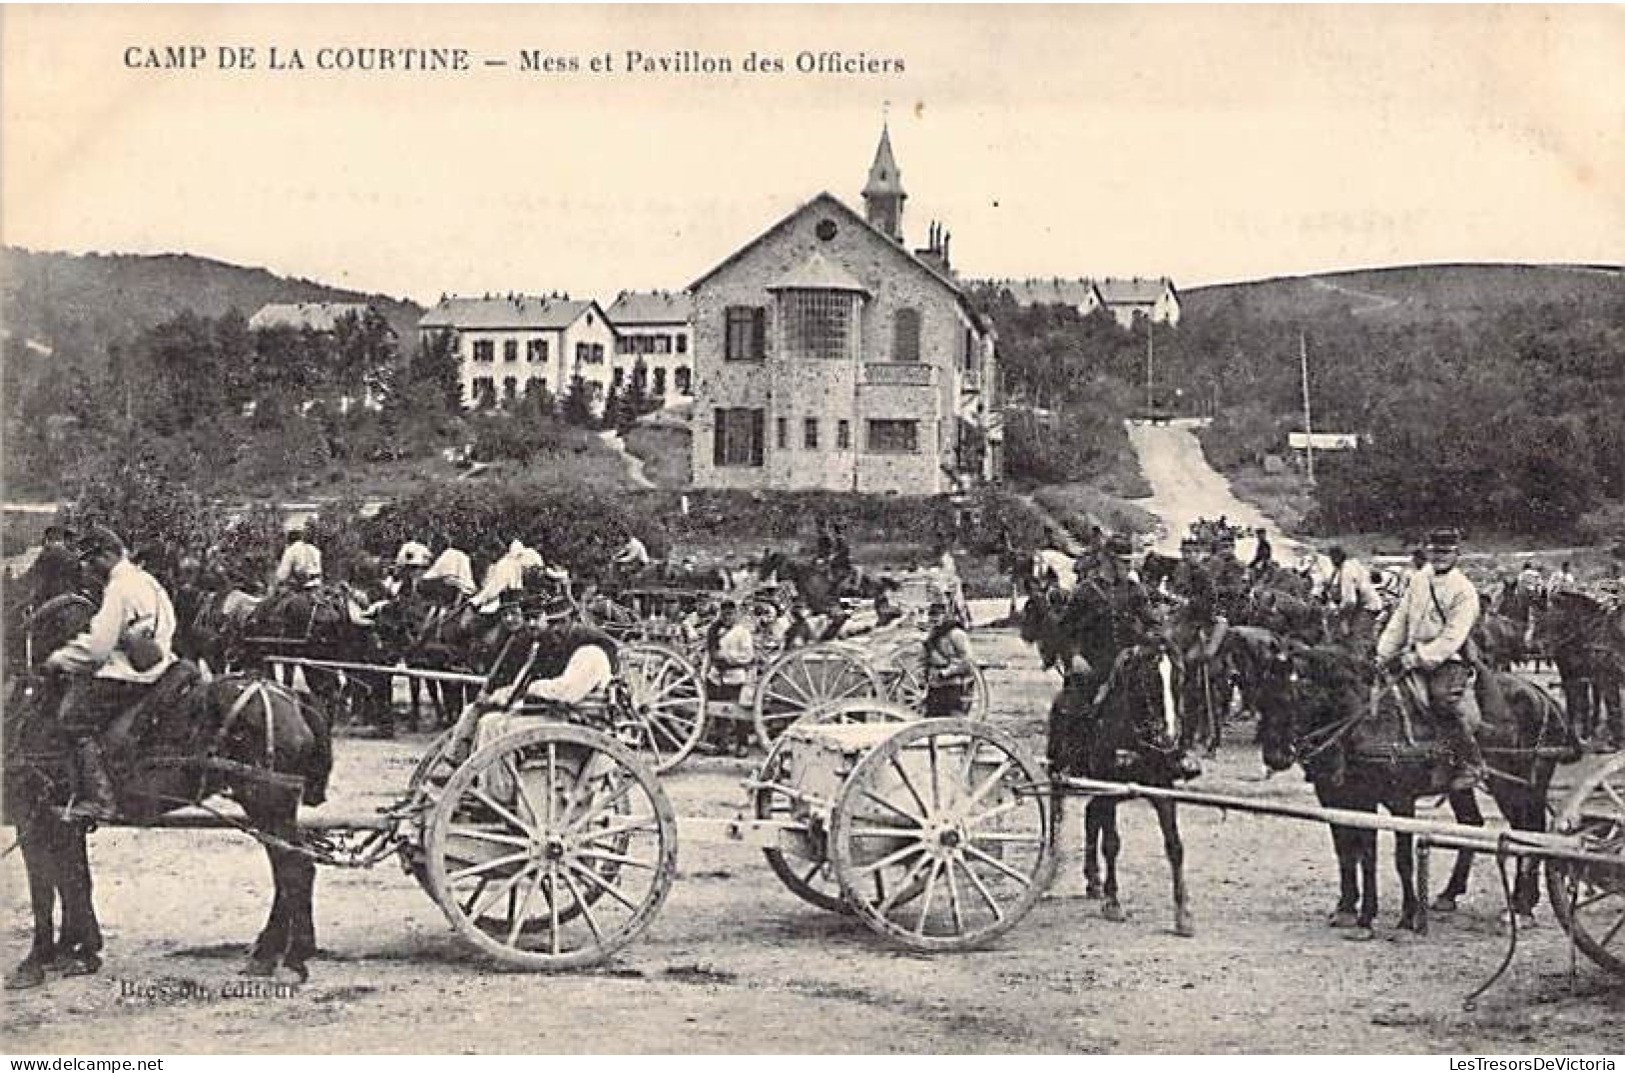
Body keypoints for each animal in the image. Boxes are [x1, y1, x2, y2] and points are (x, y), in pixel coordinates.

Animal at [2, 595, 333, 988]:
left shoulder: (32, 814)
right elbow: (73, 880)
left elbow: (44, 888)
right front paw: (78, 951)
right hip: (270, 807)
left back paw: (282, 956)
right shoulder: (63, 820)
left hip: (267, 801)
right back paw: (281, 952)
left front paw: (37, 960)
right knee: (293, 866)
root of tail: (292, 699)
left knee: (295, 868)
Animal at [1046, 640, 1202, 936]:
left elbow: (1175, 846)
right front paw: (1113, 902)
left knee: (1090, 814)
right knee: (1060, 813)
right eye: (1149, 679)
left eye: (1179, 678)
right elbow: (1111, 844)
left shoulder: (1163, 791)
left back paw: (1093, 880)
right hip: (1060, 775)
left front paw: (1183, 915)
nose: (1169, 736)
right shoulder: (1109, 791)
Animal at [1228, 634, 1573, 936]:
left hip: (1519, 788)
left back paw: (1522, 908)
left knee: (1530, 831)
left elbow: (1401, 859)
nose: (1275, 756)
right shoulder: (1341, 798)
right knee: (1481, 825)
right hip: (1468, 788)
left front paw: (1406, 916)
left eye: (1293, 695)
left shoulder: (1399, 800)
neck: (1365, 720)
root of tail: (1542, 696)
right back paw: (1457, 896)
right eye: (1260, 696)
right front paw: (1351, 910)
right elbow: (1352, 853)